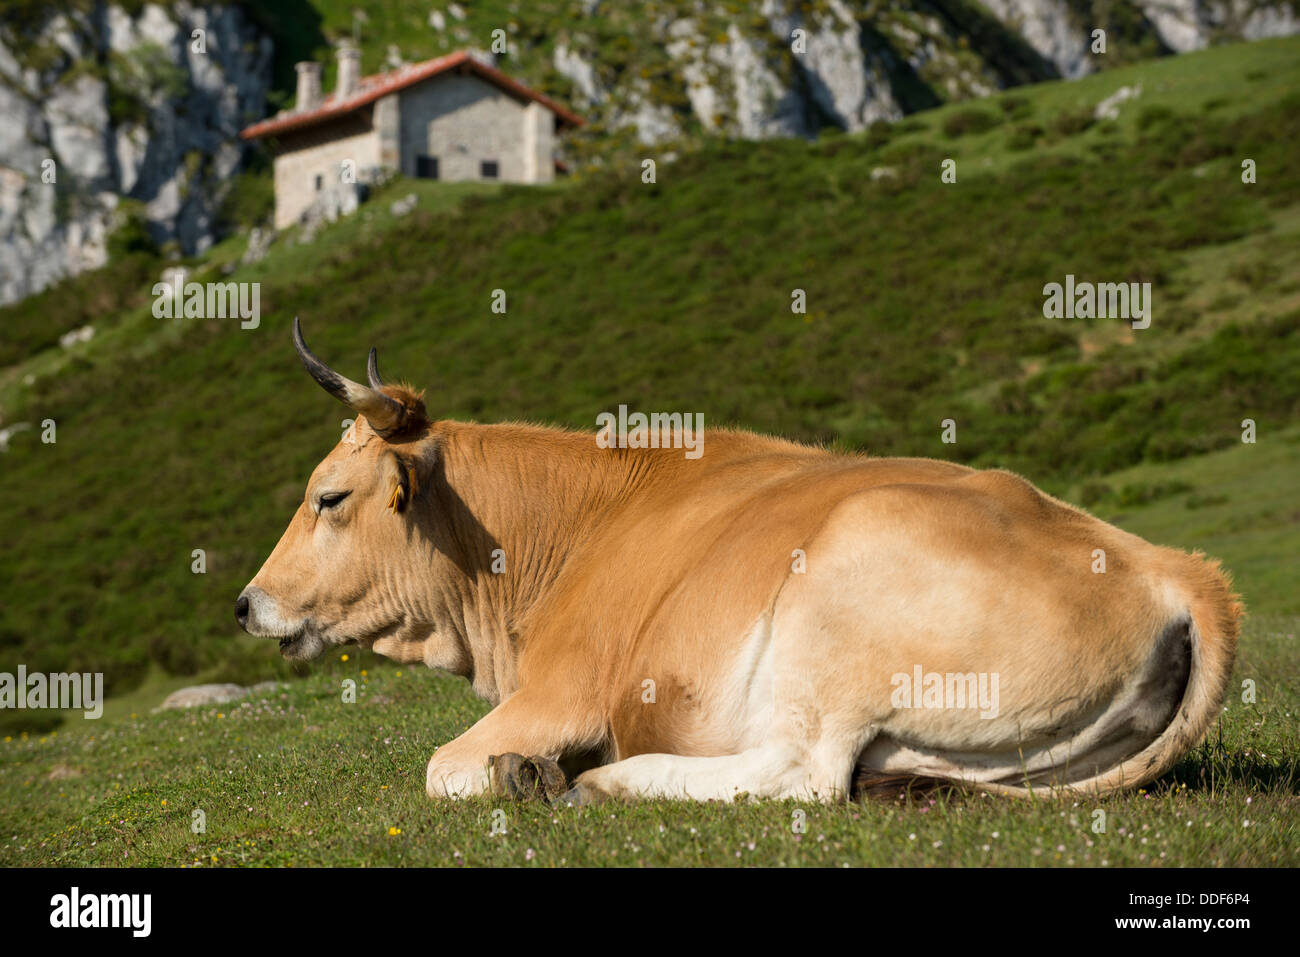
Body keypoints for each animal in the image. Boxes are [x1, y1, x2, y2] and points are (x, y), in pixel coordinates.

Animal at [236, 320, 1242, 804]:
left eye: (328, 497)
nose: (246, 603)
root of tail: (1177, 568)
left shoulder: (562, 689)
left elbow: (442, 768)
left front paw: (523, 772)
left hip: (837, 600)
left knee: (805, 774)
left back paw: (591, 784)